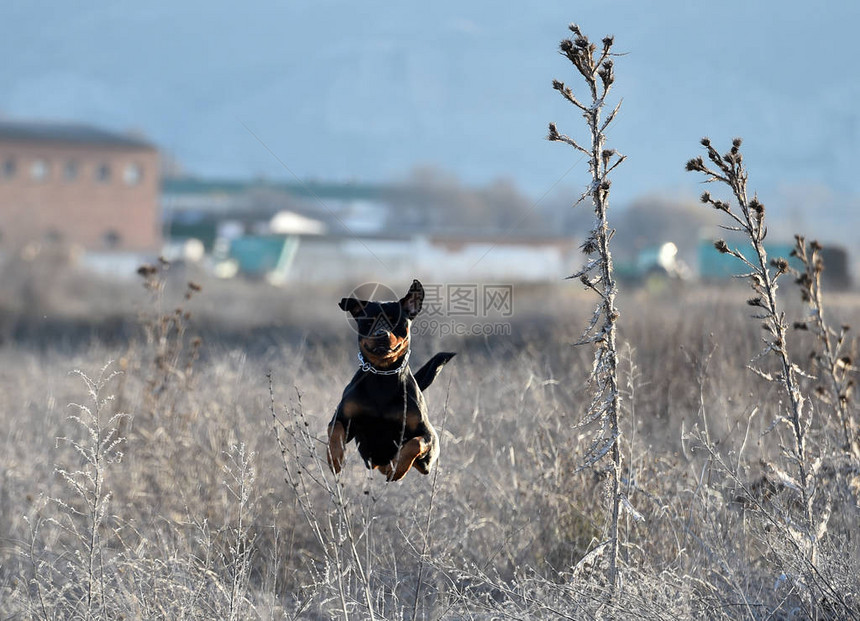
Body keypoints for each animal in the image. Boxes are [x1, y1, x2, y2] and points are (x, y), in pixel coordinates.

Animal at [326, 280, 454, 480]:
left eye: (395, 321)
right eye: (369, 321)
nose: (381, 334)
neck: (382, 375)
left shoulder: (428, 436)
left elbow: (415, 444)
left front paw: (397, 468)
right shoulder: (344, 419)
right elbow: (335, 430)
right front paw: (335, 459)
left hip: (425, 461)